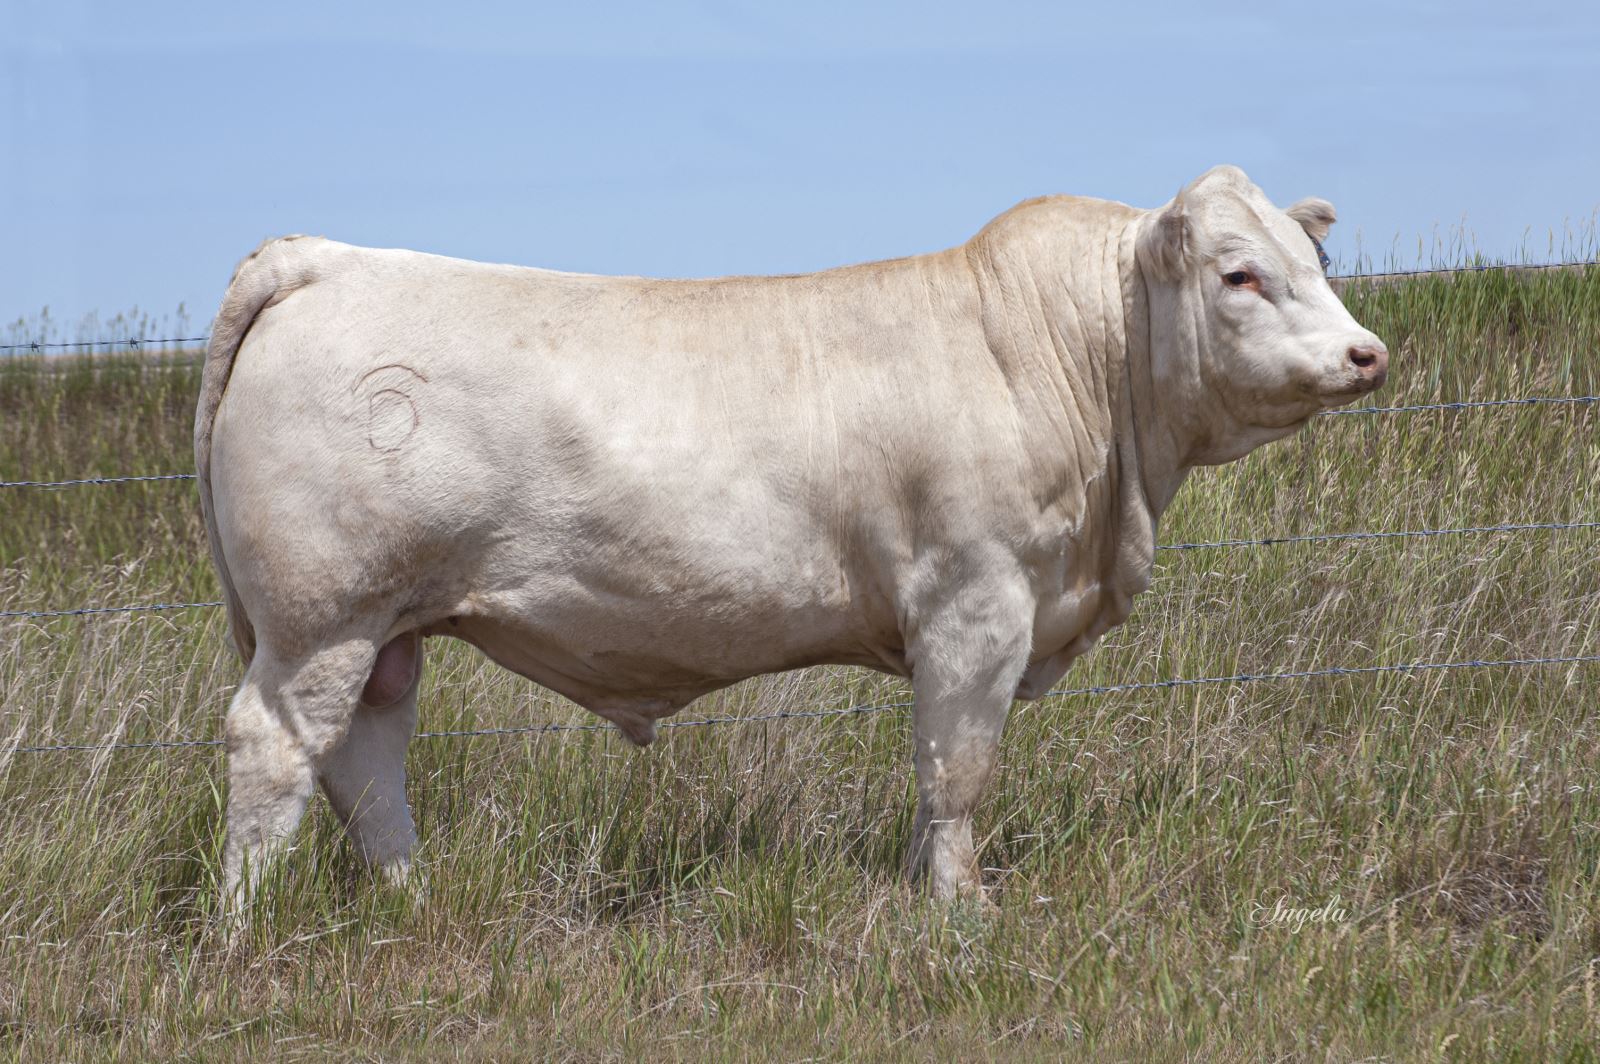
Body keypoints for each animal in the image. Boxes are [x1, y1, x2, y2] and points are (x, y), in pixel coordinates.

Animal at [196, 164, 1387, 914]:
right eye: (1240, 273)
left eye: (1317, 264)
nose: (1366, 353)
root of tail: (329, 258)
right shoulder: (975, 602)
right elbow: (957, 767)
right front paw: (961, 911)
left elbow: (938, 776)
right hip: (322, 617)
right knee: (274, 750)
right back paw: (241, 932)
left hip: (386, 628)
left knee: (365, 765)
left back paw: (416, 899)